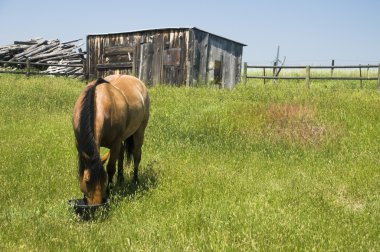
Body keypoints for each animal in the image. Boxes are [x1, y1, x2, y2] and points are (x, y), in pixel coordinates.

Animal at [72, 74, 149, 205]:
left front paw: (109, 192)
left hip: (139, 132)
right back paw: (120, 179)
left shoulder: (115, 143)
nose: (96, 205)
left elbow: (110, 168)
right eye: (87, 181)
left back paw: (135, 180)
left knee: (136, 155)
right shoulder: (80, 146)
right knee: (122, 154)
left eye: (104, 179)